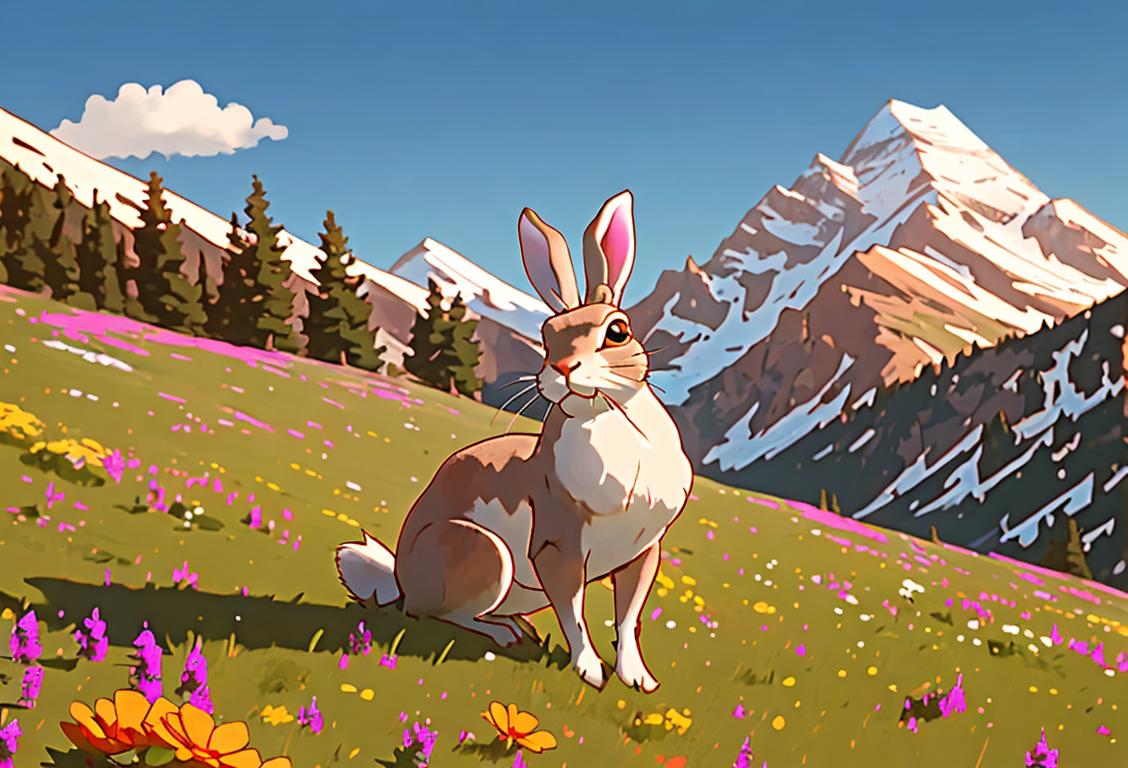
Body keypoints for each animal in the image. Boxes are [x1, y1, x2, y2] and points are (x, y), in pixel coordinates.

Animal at [336, 190, 693, 692]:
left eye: (618, 331)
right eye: (546, 337)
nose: (562, 369)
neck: (607, 416)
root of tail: (402, 580)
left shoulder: (643, 552)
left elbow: (628, 618)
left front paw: (638, 679)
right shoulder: (557, 546)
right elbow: (575, 614)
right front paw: (590, 672)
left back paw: (519, 628)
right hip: (484, 552)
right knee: (439, 612)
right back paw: (504, 634)